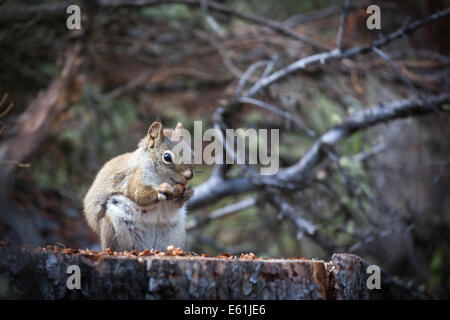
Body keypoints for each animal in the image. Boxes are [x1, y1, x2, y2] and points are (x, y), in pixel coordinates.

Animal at [82, 121, 193, 251]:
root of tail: (147, 246)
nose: (189, 176)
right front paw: (162, 190)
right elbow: (139, 193)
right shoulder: (135, 175)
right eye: (167, 157)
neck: (163, 177)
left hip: (174, 236)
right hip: (114, 228)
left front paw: (188, 192)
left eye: (192, 154)